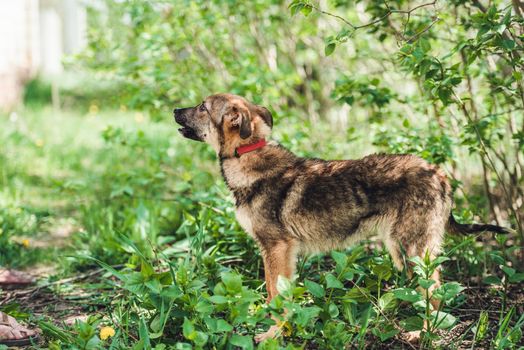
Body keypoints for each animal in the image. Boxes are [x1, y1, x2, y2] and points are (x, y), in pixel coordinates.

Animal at [174, 93, 510, 342]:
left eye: (202, 107)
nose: (175, 110)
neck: (246, 155)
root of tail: (438, 173)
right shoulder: (277, 252)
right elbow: (275, 293)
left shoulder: (276, 248)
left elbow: (276, 297)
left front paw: (272, 334)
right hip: (404, 251)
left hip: (409, 248)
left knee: (435, 289)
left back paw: (423, 332)